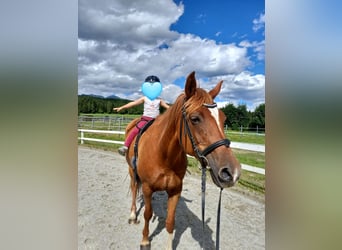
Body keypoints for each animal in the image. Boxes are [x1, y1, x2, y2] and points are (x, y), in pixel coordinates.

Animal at [123, 71, 240, 249]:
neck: (164, 155)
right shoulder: (148, 187)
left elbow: (170, 222)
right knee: (135, 187)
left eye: (223, 118)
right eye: (195, 118)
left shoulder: (175, 191)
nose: (231, 172)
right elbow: (147, 214)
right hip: (132, 170)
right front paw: (144, 240)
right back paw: (132, 215)